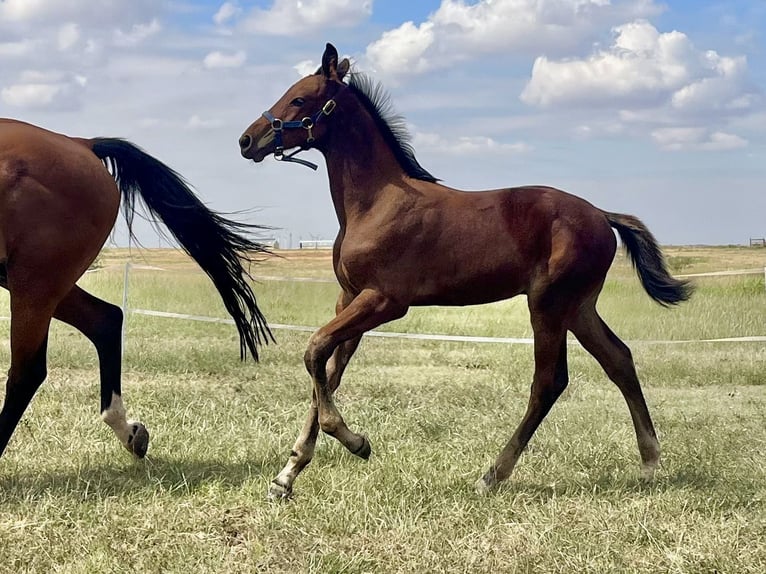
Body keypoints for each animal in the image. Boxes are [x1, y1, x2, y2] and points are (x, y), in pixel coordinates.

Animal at [0, 120, 272, 464]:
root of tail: (82, 143)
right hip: (32, 280)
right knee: (105, 320)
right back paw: (130, 432)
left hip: (36, 280)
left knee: (27, 372)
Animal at [237, 42, 692, 500]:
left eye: (299, 99)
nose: (246, 139)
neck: (376, 202)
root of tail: (601, 214)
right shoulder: (349, 298)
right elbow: (327, 375)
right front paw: (287, 475)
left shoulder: (384, 300)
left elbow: (314, 351)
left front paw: (356, 442)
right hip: (578, 307)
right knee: (619, 359)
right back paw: (650, 461)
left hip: (548, 305)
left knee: (549, 381)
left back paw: (492, 474)